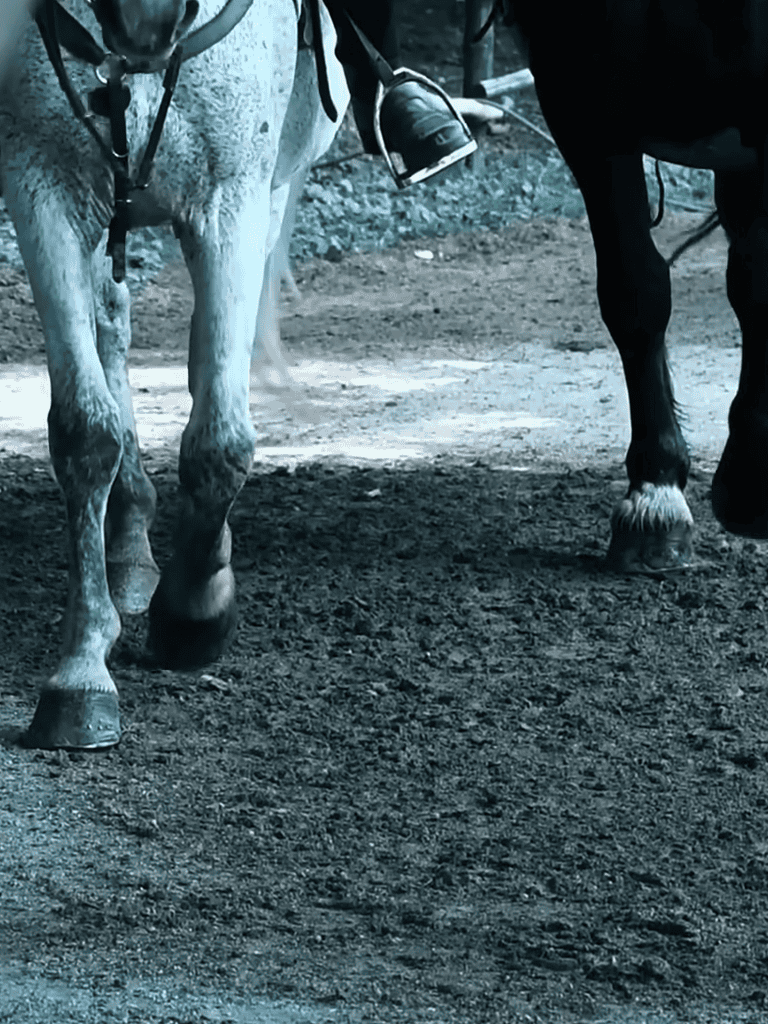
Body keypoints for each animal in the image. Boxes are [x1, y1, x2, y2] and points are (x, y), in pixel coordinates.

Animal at [0, 0, 348, 748]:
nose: (148, 22)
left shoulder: (234, 201)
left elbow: (220, 437)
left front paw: (194, 613)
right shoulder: (44, 190)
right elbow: (85, 431)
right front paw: (81, 673)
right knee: (112, 326)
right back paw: (130, 541)